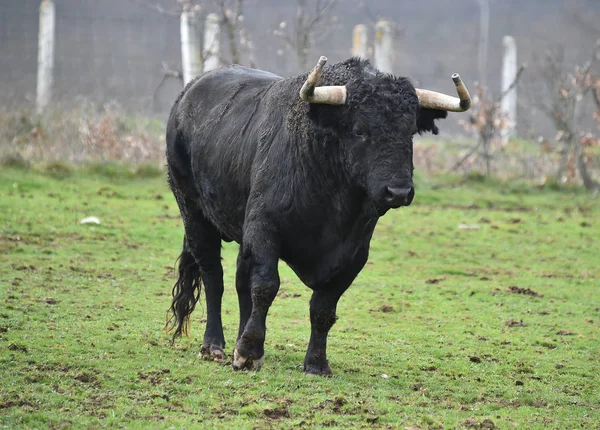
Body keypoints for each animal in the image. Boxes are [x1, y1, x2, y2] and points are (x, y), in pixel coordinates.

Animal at [166, 56, 472, 372]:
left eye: (410, 131)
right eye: (360, 130)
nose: (398, 192)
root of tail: (187, 95)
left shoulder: (354, 253)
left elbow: (323, 307)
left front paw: (315, 363)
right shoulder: (264, 229)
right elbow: (265, 287)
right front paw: (249, 351)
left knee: (240, 281)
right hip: (193, 214)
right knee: (214, 275)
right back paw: (213, 345)